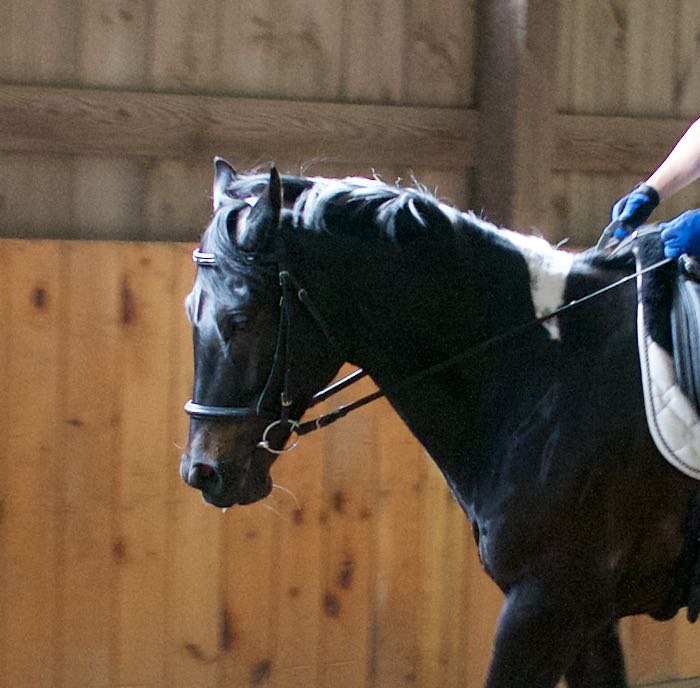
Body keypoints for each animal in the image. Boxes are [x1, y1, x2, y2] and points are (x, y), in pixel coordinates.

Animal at [180, 159, 700, 684]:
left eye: (240, 319)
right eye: (190, 310)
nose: (203, 472)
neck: (546, 364)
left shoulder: (547, 601)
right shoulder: (588, 617)